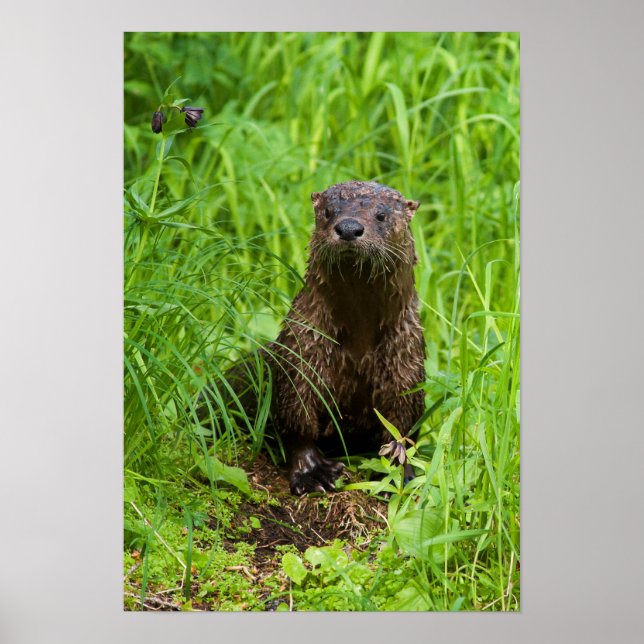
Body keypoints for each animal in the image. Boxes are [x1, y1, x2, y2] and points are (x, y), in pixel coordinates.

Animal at [266, 180, 426, 495]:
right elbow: (296, 418)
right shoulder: (301, 351)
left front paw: (399, 473)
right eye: (329, 212)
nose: (349, 227)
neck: (358, 346)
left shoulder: (407, 361)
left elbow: (402, 426)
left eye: (381, 215)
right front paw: (313, 472)